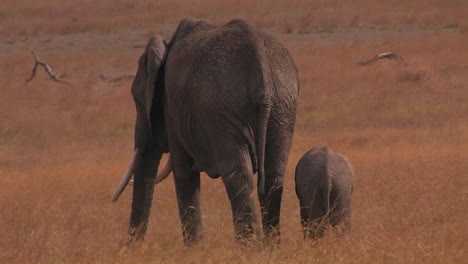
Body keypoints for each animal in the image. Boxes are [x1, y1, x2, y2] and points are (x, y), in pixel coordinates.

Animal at [111, 18, 298, 244]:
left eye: (136, 100)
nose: (131, 247)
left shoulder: (171, 107)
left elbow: (183, 172)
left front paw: (195, 248)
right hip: (283, 107)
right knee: (273, 175)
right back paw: (270, 247)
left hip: (222, 111)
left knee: (239, 175)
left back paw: (248, 248)